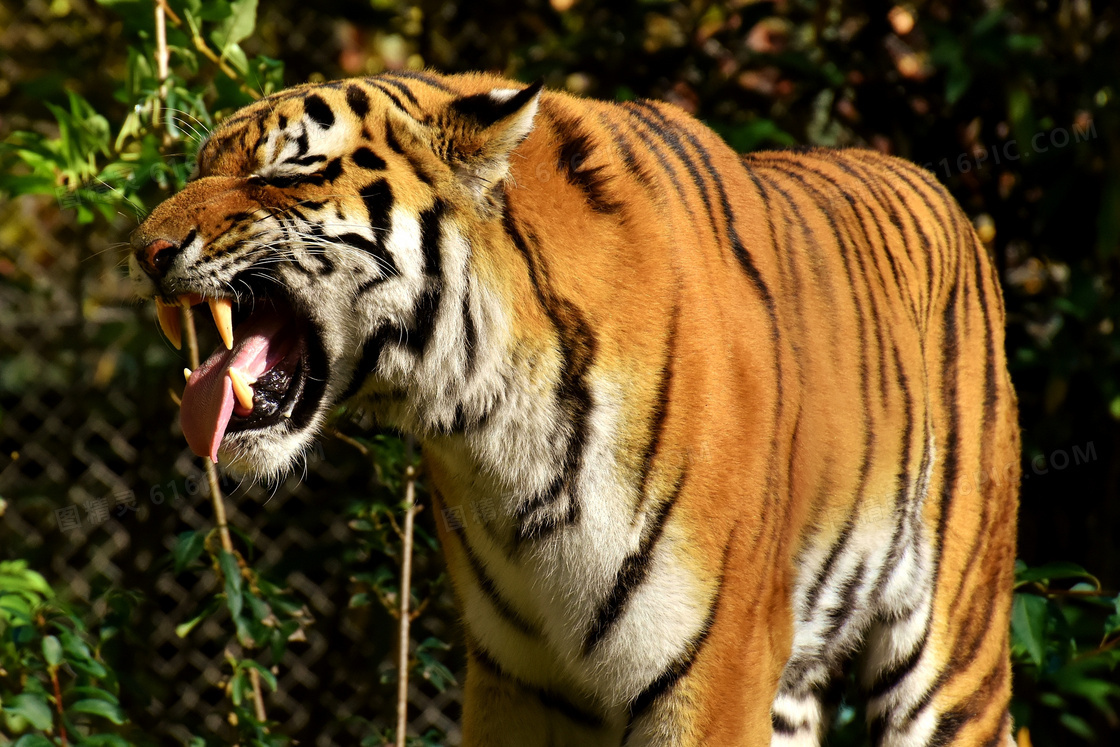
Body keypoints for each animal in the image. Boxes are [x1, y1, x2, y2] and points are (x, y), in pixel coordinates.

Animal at [127, 71, 1021, 747]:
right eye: (201, 162)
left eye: (285, 172)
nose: (143, 251)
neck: (493, 426)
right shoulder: (522, 679)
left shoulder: (716, 665)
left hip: (950, 658)